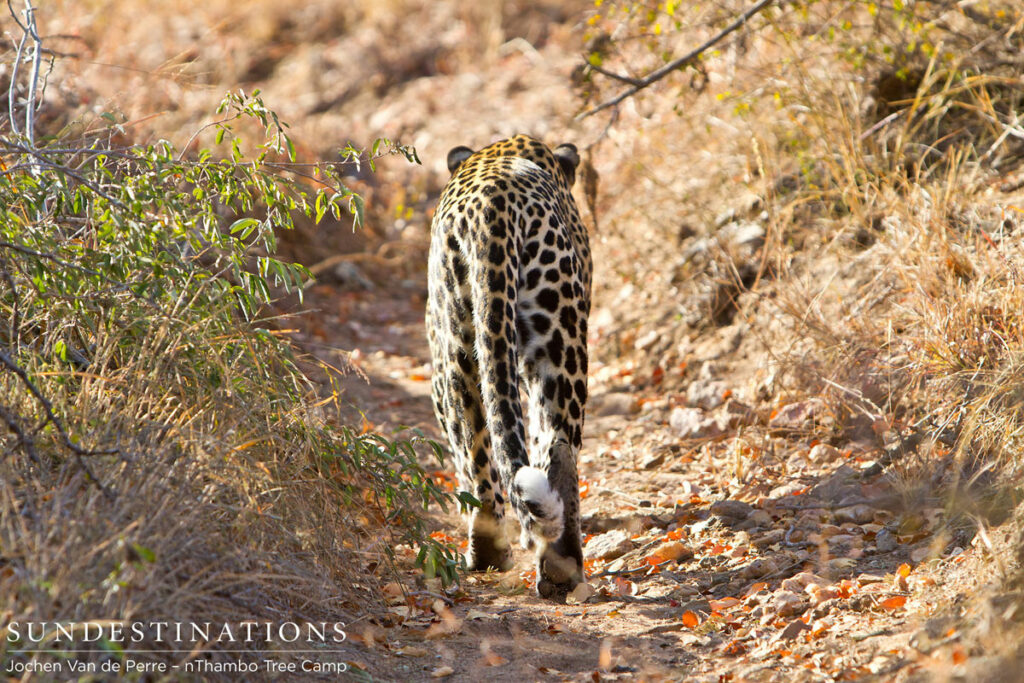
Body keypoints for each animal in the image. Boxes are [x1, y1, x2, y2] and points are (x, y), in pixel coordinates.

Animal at [426, 134, 592, 599]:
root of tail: (493, 204)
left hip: (465, 343)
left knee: (482, 445)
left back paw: (496, 554)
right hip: (556, 336)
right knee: (556, 445)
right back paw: (556, 565)